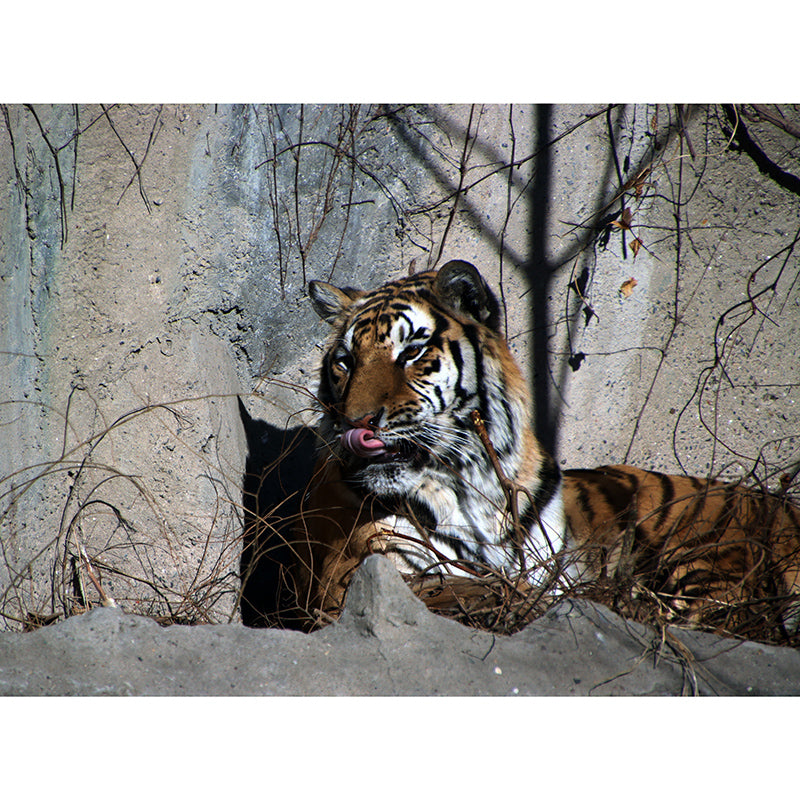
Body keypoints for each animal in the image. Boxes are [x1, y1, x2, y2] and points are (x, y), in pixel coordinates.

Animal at [288, 260, 800, 641]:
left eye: (411, 352)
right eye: (344, 362)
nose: (356, 423)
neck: (469, 482)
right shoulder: (353, 577)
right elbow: (468, 587)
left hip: (709, 558)